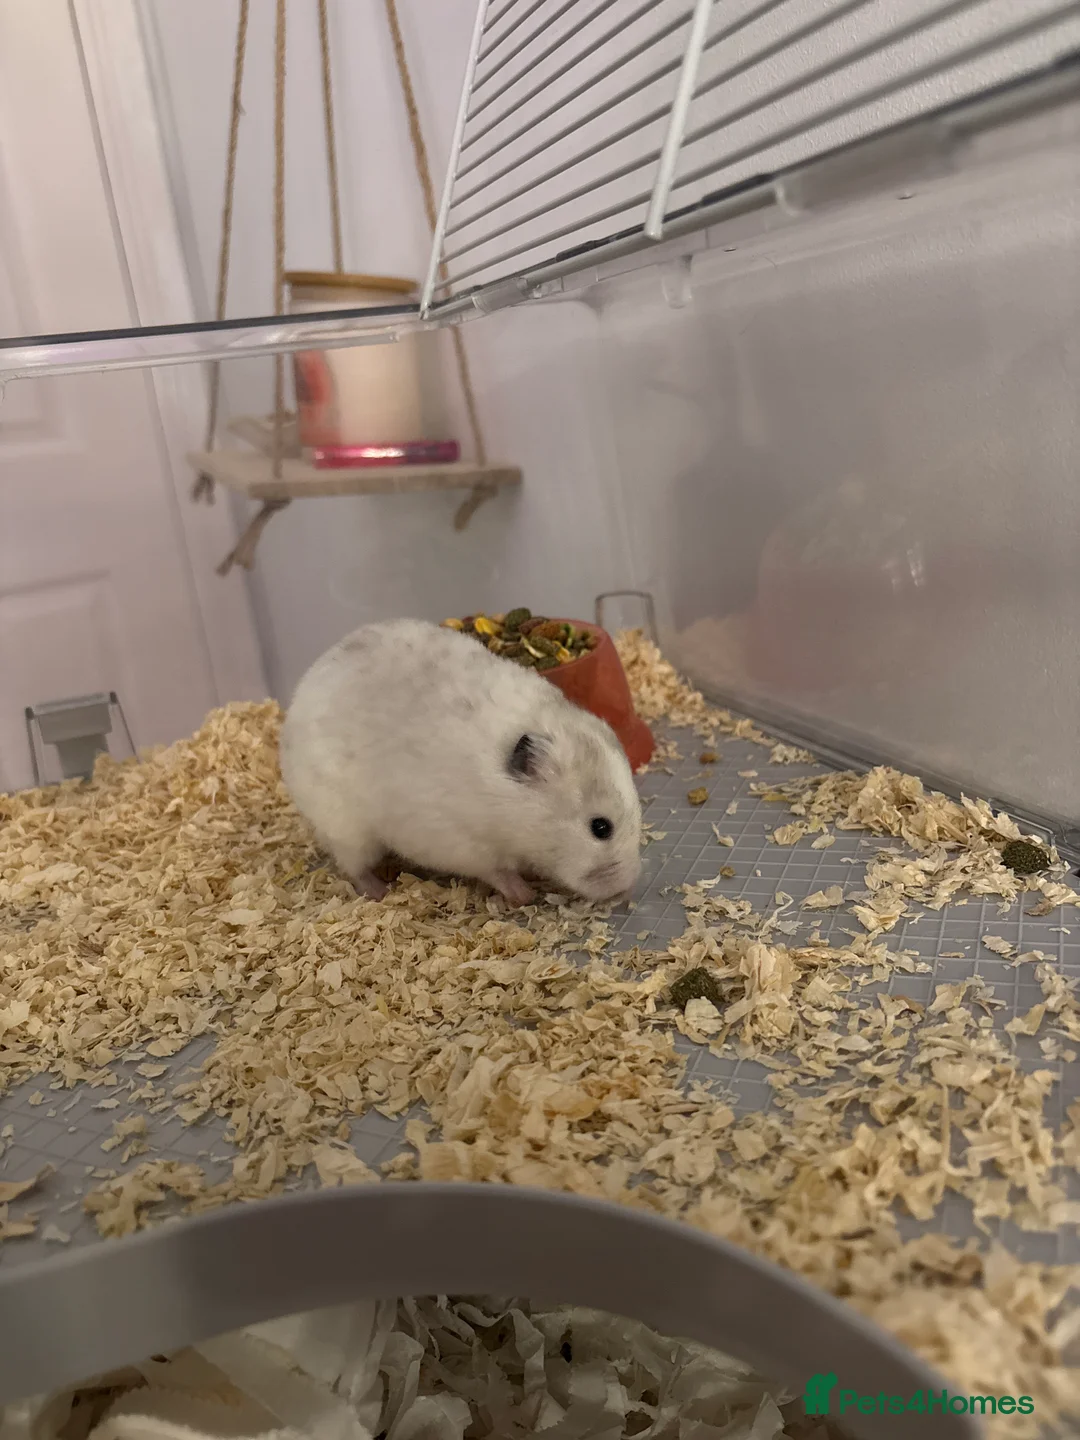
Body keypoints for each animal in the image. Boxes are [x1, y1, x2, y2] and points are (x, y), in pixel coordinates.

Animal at [278, 618, 643, 907]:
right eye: (600, 828)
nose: (624, 889)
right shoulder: (461, 843)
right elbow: (497, 871)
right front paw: (525, 895)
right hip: (346, 827)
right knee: (352, 866)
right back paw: (380, 890)